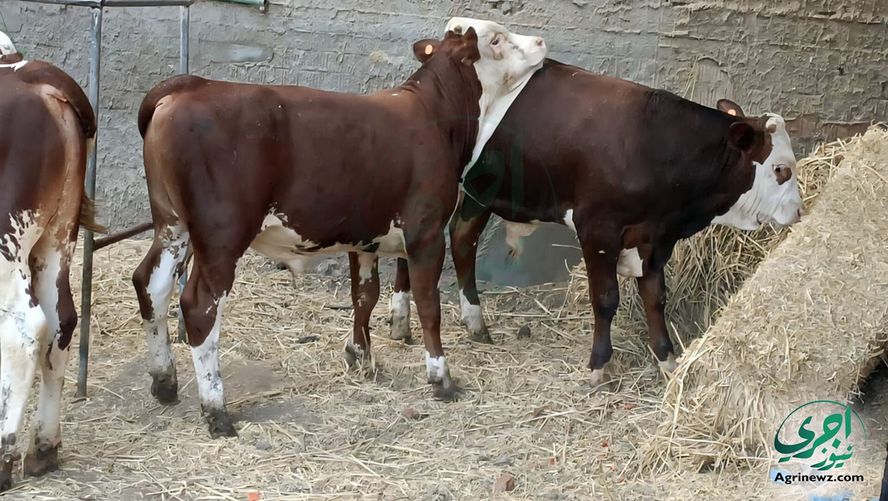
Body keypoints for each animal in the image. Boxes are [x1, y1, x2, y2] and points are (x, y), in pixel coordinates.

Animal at [132, 26, 547, 437]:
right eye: (496, 39)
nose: (541, 42)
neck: (436, 115)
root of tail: (191, 86)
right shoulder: (426, 232)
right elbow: (429, 306)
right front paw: (440, 378)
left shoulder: (365, 236)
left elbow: (365, 296)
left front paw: (359, 355)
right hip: (221, 236)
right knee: (198, 307)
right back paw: (216, 410)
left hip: (171, 224)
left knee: (151, 284)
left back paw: (164, 381)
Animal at [388, 19, 804, 387]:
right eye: (781, 169)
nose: (799, 211)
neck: (654, 143)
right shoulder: (598, 229)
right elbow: (605, 299)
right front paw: (599, 366)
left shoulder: (654, 238)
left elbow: (656, 298)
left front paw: (667, 358)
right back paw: (400, 320)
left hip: (480, 191)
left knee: (462, 239)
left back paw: (474, 322)